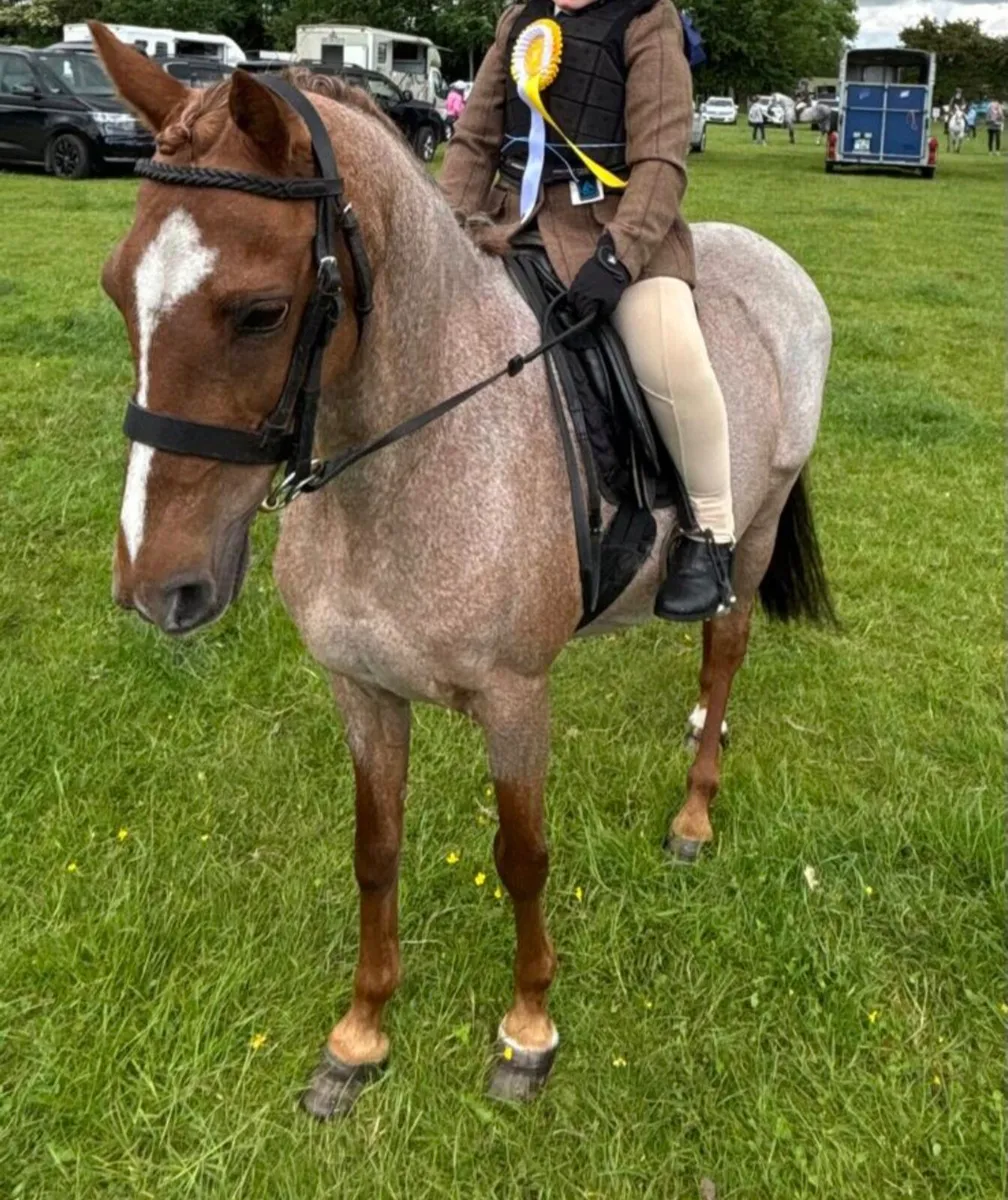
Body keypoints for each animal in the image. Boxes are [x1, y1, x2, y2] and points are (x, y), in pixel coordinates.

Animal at [90, 23, 833, 1117]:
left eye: (260, 313)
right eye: (117, 288)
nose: (156, 587)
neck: (411, 456)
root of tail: (777, 264)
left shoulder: (517, 699)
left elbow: (522, 858)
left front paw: (527, 1033)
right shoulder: (360, 691)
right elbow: (375, 850)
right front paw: (359, 1038)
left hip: (760, 520)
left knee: (727, 640)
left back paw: (695, 810)